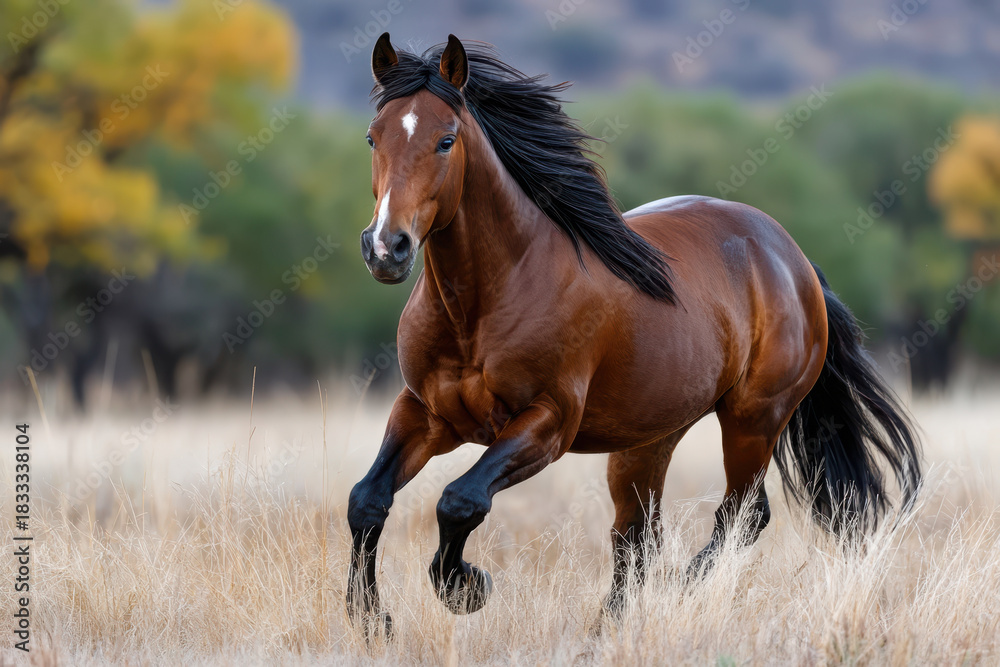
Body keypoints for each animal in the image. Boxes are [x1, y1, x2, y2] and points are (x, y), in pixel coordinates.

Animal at [346, 33, 921, 638]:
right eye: (373, 136)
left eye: (446, 140)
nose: (386, 248)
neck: (482, 302)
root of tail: (795, 260)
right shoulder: (425, 413)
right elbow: (367, 499)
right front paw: (372, 619)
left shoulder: (546, 424)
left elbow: (460, 500)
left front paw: (465, 587)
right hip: (650, 438)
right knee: (637, 532)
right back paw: (612, 625)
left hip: (754, 419)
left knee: (742, 514)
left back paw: (673, 595)